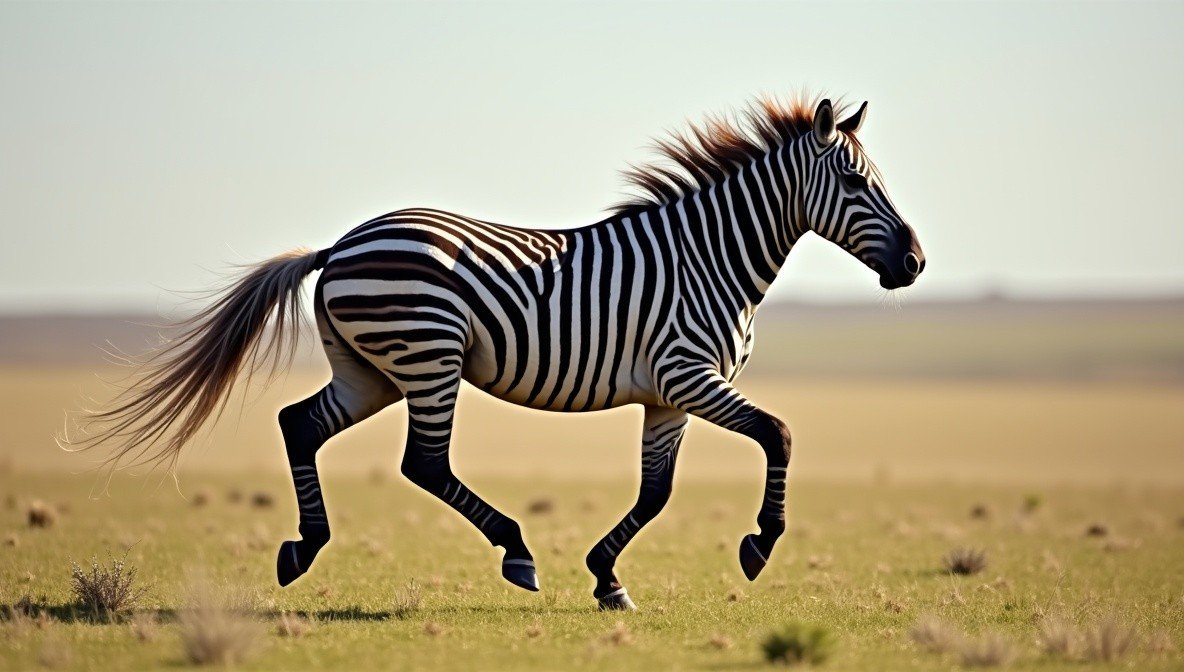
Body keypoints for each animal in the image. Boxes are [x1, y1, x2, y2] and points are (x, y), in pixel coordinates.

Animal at [73, 95, 925, 611]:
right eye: (856, 185)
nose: (914, 263)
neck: (709, 258)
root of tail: (342, 245)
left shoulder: (666, 395)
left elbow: (655, 493)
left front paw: (608, 578)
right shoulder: (688, 373)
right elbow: (777, 433)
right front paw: (757, 546)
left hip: (369, 370)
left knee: (298, 424)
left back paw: (303, 550)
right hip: (427, 355)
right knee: (423, 463)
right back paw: (515, 552)